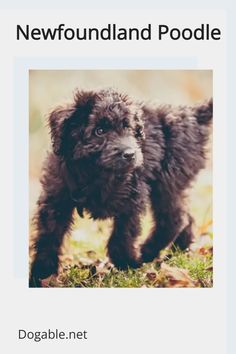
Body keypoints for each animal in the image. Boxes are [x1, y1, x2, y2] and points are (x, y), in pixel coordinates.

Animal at [29, 89, 212, 288]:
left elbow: (122, 235)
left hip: (167, 180)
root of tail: (192, 115)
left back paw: (147, 253)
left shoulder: (132, 197)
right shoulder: (56, 198)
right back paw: (178, 251)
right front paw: (41, 273)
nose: (130, 154)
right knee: (185, 217)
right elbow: (49, 236)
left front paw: (127, 264)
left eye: (128, 127)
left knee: (174, 219)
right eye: (99, 131)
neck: (92, 172)